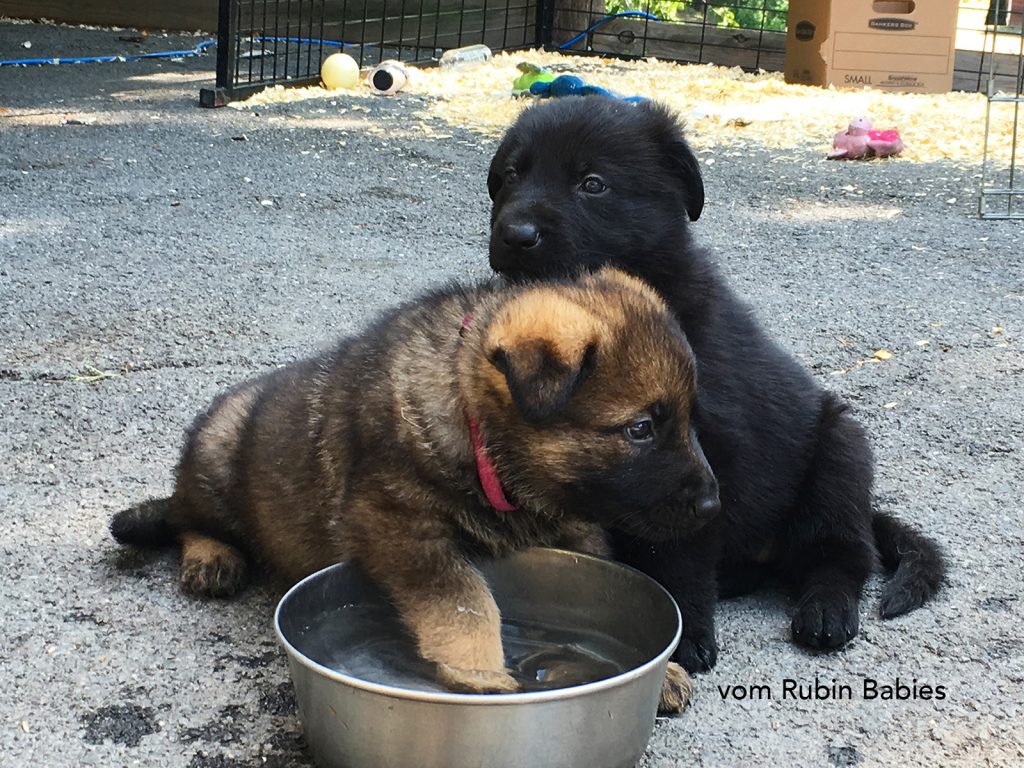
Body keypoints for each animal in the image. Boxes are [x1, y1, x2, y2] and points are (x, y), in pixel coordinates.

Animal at [110, 268, 704, 708]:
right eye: (640, 429)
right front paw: (482, 673)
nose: (711, 503)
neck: (475, 428)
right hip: (218, 450)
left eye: (685, 421)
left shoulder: (572, 521)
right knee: (188, 516)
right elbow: (465, 602)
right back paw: (211, 556)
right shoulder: (396, 524)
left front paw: (666, 672)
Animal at [487, 99, 942, 675]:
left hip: (840, 452)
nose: (516, 234)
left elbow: (680, 545)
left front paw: (688, 634)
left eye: (593, 184)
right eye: (511, 176)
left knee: (840, 554)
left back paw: (826, 611)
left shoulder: (702, 450)